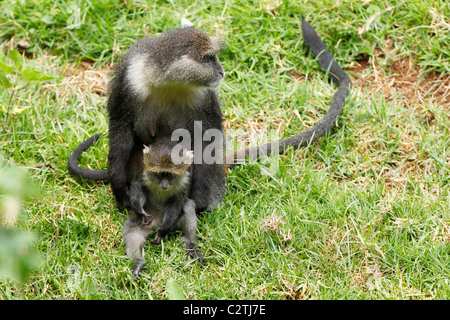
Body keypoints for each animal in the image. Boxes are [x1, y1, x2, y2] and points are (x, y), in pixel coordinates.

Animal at [68, 18, 354, 211]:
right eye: (208, 58)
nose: (221, 71)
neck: (167, 81)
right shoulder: (129, 79)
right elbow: (120, 126)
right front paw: (118, 186)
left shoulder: (204, 97)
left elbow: (207, 139)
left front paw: (197, 200)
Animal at [122, 138, 201, 280]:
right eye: (158, 174)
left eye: (169, 175)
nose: (164, 185)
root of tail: (156, 222)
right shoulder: (143, 173)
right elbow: (138, 188)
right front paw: (140, 212)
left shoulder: (185, 181)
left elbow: (177, 203)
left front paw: (163, 230)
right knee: (132, 234)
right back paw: (137, 263)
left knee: (188, 206)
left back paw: (191, 244)